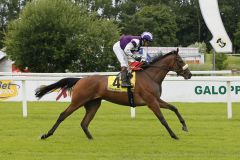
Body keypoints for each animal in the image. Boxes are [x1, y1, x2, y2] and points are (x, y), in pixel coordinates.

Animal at [35, 49, 192, 140]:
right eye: (180, 60)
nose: (189, 74)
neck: (150, 76)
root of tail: (80, 79)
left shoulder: (156, 99)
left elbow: (174, 108)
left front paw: (184, 126)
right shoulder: (151, 102)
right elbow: (162, 119)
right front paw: (174, 135)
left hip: (93, 104)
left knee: (84, 122)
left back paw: (91, 138)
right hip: (78, 101)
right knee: (63, 115)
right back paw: (46, 134)